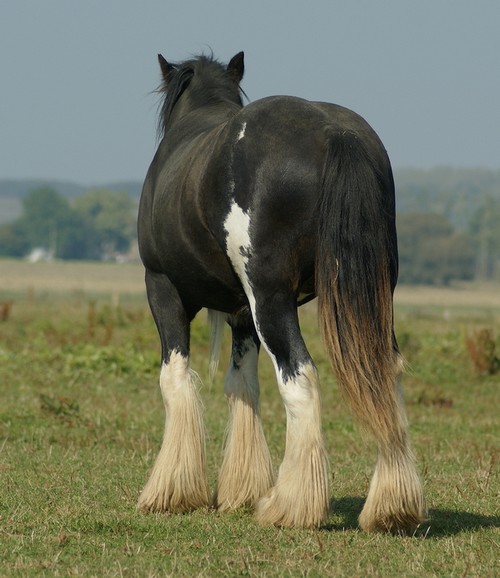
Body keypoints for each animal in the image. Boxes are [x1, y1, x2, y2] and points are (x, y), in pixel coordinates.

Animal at [137, 51, 426, 528]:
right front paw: (241, 489)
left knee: (300, 376)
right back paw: (392, 507)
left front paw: (171, 491)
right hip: (371, 299)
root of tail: (335, 132)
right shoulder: (241, 311)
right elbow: (241, 383)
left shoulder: (163, 290)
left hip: (270, 301)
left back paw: (291, 506)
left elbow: (175, 379)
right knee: (386, 372)